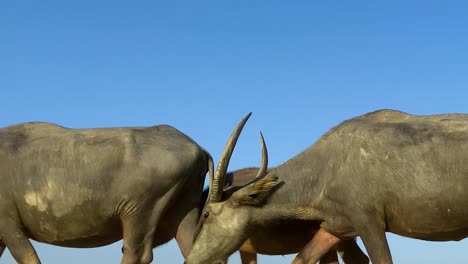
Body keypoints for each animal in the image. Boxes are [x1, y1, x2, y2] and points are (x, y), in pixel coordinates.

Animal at [0, 114, 250, 264]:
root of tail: (198, 149)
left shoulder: (8, 223)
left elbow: (28, 256)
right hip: (183, 206)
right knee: (195, 248)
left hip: (140, 210)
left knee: (136, 253)